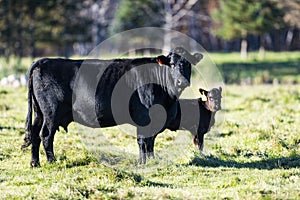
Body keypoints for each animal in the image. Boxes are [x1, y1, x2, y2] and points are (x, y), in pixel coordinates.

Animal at [22, 47, 203, 166]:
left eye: (188, 64)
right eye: (171, 64)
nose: (181, 82)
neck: (168, 99)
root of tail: (43, 61)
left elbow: (151, 142)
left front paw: (152, 161)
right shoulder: (144, 117)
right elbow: (143, 141)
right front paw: (143, 163)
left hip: (39, 113)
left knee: (35, 134)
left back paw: (35, 163)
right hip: (51, 113)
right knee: (46, 135)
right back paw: (52, 161)